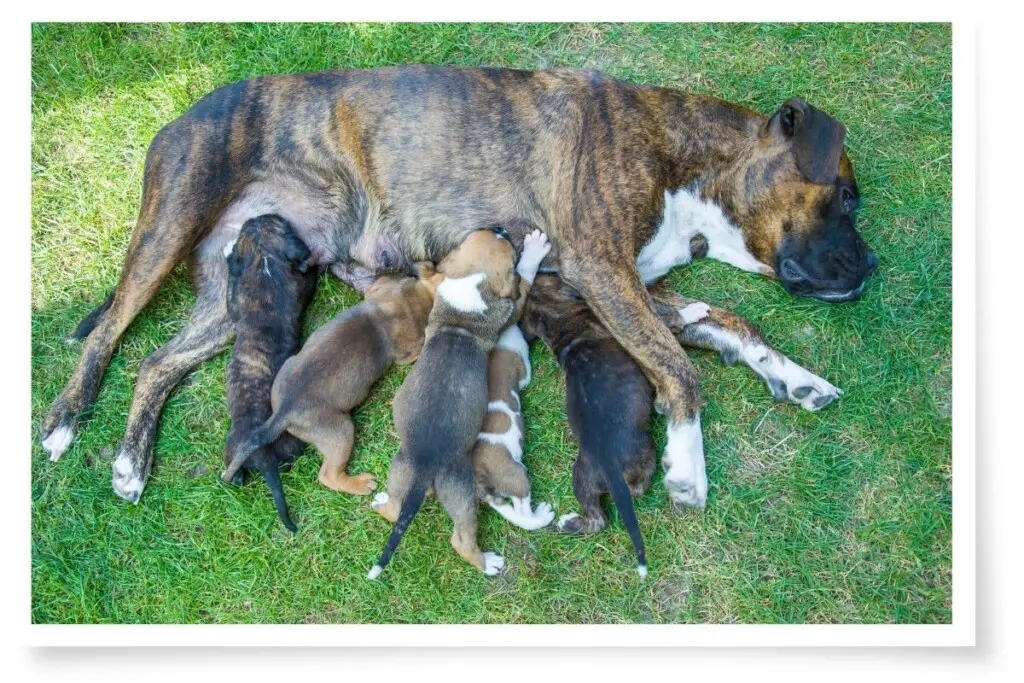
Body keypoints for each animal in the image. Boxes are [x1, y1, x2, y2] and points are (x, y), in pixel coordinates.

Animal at [224, 266, 444, 497]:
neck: (417, 297)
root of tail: (283, 412)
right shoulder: (408, 351)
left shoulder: (379, 289)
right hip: (341, 431)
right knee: (328, 474)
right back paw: (360, 483)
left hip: (288, 367)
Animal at [524, 272, 708, 577]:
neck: (558, 322)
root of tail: (610, 469)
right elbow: (670, 319)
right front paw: (695, 310)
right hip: (644, 455)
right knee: (634, 493)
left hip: (581, 476)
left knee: (596, 518)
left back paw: (569, 522)